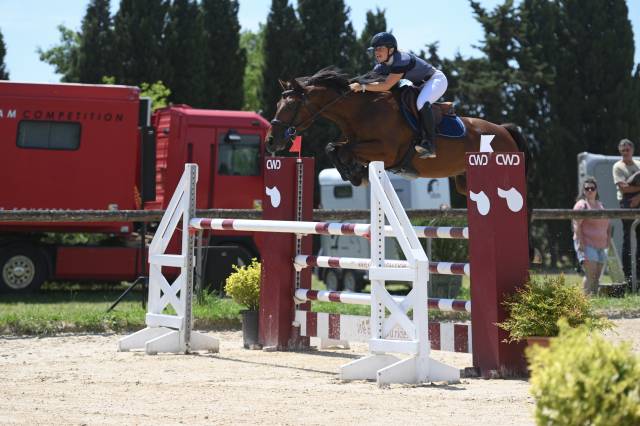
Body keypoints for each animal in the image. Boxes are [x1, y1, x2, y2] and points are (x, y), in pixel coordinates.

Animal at [265, 67, 529, 194]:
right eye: (277, 104)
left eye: (290, 106)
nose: (271, 141)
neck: (361, 111)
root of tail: (503, 130)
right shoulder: (356, 143)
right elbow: (333, 147)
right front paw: (354, 173)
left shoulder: (387, 152)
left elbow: (344, 150)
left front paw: (355, 174)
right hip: (464, 182)